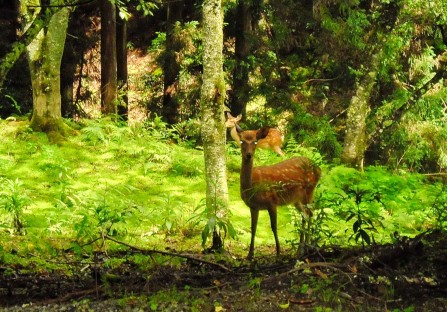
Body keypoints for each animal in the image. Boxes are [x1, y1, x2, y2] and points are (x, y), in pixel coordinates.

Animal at [238, 124, 322, 258]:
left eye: (255, 141)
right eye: (242, 141)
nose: (249, 155)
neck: (251, 187)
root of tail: (318, 168)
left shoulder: (272, 202)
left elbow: (274, 227)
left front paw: (278, 252)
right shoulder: (254, 206)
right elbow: (253, 228)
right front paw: (250, 255)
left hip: (309, 189)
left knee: (310, 213)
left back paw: (307, 246)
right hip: (296, 199)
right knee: (305, 214)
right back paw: (300, 248)